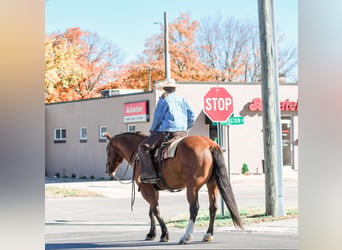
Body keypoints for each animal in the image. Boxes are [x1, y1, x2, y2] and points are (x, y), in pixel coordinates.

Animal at [104, 132, 243, 245]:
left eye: (107, 150)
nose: (108, 170)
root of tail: (209, 144)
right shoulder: (152, 189)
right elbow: (151, 211)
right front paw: (151, 234)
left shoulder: (146, 189)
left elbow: (156, 210)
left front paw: (164, 235)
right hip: (212, 184)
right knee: (213, 207)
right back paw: (208, 235)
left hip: (192, 187)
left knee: (194, 208)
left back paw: (186, 237)